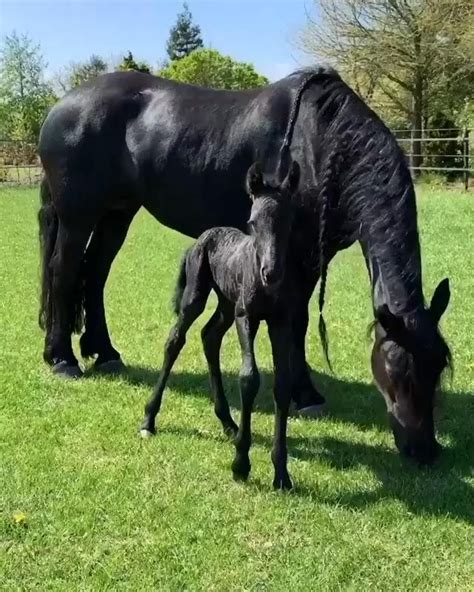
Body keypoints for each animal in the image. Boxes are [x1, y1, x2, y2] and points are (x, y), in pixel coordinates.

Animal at [141, 161, 302, 490]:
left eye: (289, 220)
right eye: (252, 222)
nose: (270, 272)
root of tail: (205, 235)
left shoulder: (280, 322)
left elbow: (282, 383)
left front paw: (281, 473)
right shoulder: (246, 317)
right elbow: (249, 378)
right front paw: (240, 464)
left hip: (226, 305)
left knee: (209, 335)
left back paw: (228, 422)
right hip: (199, 296)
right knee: (176, 339)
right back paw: (149, 420)